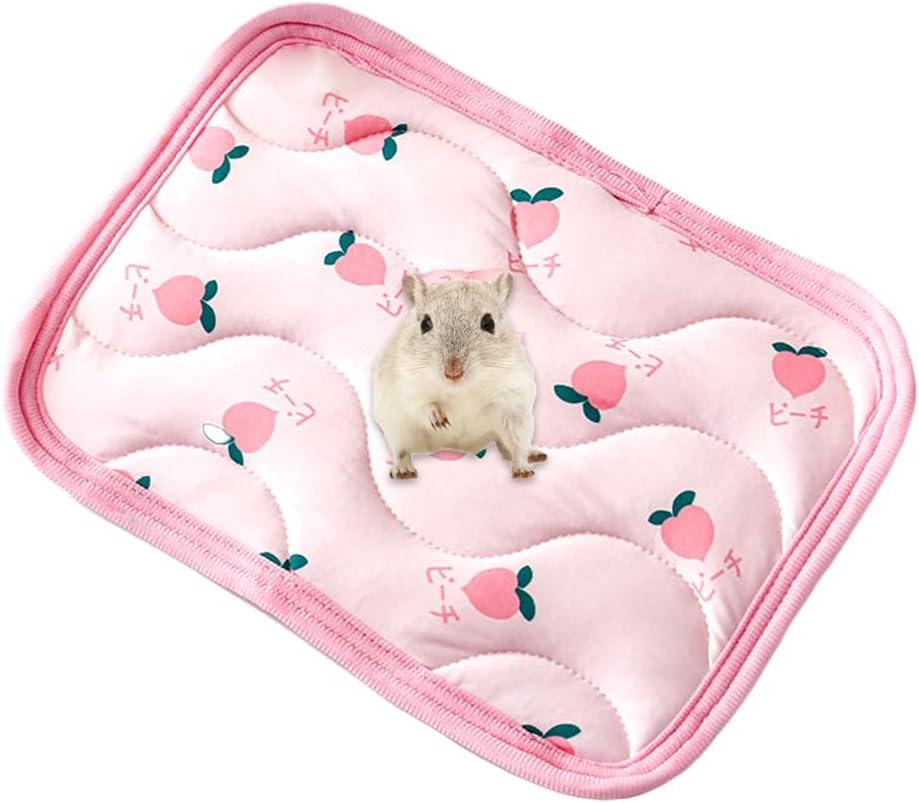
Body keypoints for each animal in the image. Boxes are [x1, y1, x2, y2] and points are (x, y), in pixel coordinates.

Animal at [372, 272, 546, 480]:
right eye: (425, 324)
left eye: (489, 323)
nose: (452, 373)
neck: (460, 390)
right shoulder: (407, 383)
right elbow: (421, 404)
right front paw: (439, 420)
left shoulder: (514, 400)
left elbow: (517, 442)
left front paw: (523, 470)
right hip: (396, 429)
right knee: (401, 451)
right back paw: (403, 470)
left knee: (507, 446)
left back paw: (534, 455)